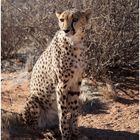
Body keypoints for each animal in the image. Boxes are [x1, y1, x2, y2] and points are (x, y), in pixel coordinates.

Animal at [21, 8, 91, 139]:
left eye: (75, 19)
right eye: (62, 19)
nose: (65, 30)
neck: (75, 43)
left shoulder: (76, 82)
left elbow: (74, 111)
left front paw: (76, 133)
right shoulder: (61, 85)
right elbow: (63, 114)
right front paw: (66, 135)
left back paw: (54, 130)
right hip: (33, 99)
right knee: (33, 127)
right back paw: (47, 133)